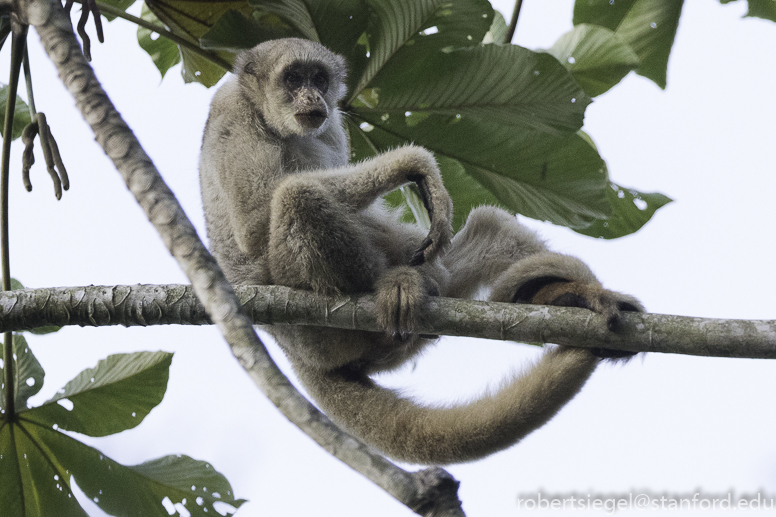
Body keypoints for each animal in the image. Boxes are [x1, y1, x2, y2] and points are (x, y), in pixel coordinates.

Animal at [200, 36, 644, 464]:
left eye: (319, 79)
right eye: (293, 79)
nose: (312, 97)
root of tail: (295, 353)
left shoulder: (333, 126)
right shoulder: (232, 110)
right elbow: (257, 222)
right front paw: (412, 163)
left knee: (490, 226)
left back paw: (568, 296)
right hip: (315, 329)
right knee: (298, 195)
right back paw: (395, 284)